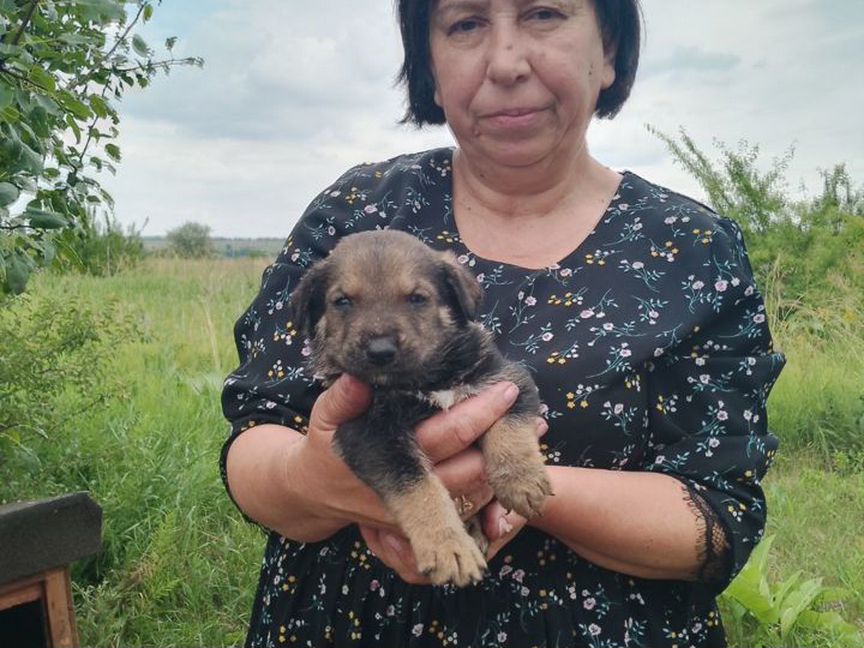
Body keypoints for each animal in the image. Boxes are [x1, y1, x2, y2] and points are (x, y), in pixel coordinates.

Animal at [292, 229, 552, 588]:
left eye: (417, 298)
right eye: (342, 301)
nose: (380, 350)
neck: (424, 381)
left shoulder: (508, 381)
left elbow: (509, 430)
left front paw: (521, 480)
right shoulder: (369, 434)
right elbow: (419, 488)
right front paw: (449, 546)